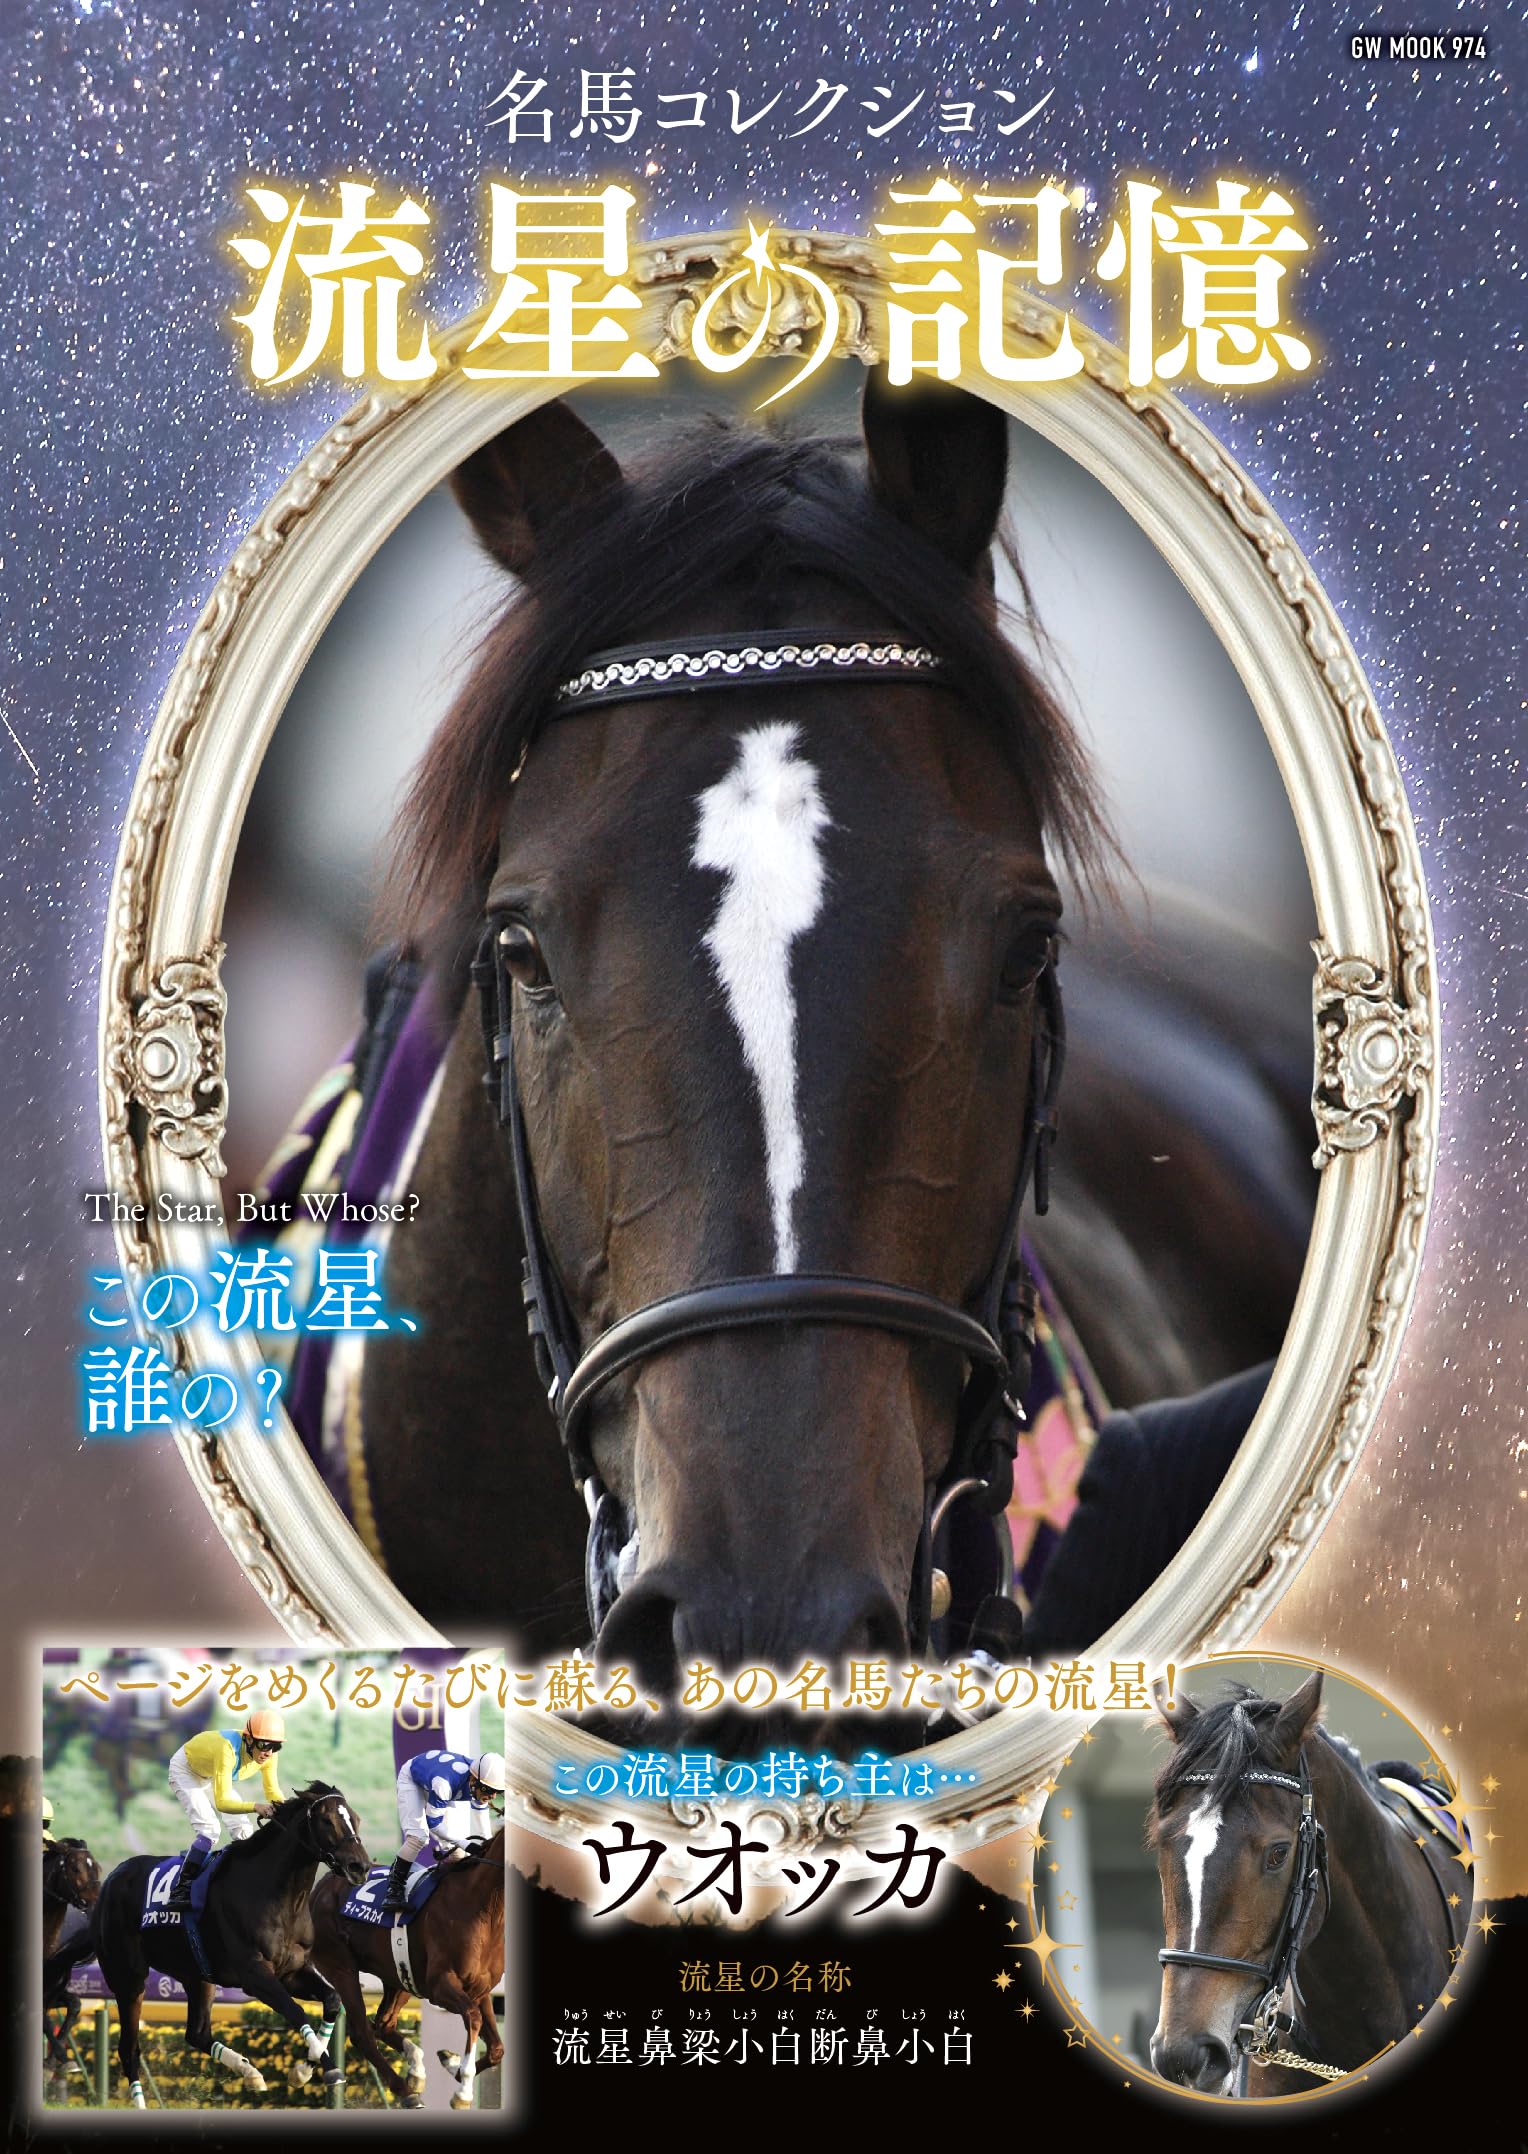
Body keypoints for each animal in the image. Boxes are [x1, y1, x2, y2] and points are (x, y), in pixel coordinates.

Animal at [91, 1781, 371, 2108]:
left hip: (198, 1977)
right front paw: (325, 2070)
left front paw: (304, 2069)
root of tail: (110, 1879)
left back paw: (251, 2073)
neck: (279, 1896)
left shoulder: (292, 1972)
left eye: (355, 1818)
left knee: (197, 2033)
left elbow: (332, 2000)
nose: (360, 1866)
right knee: (129, 2049)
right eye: (327, 1820)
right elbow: (296, 2012)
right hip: (128, 1978)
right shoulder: (254, 1975)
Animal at [307, 1828, 506, 2109]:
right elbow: (473, 2017)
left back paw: (416, 2070)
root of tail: (322, 1885)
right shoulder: (440, 1985)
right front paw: (463, 2091)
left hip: (399, 1976)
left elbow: (497, 2048)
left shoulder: (480, 1988)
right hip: (341, 1968)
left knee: (384, 2024)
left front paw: (452, 2063)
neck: (482, 1909)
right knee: (362, 2032)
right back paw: (406, 2090)